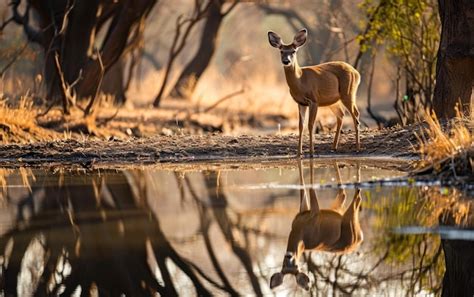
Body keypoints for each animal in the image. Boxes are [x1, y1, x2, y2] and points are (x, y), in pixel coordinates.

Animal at [266, 28, 362, 156]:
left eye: (293, 51)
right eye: (281, 51)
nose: (286, 61)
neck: (300, 80)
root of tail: (356, 73)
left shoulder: (314, 100)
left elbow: (310, 124)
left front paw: (311, 152)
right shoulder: (301, 103)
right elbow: (300, 126)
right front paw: (299, 153)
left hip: (348, 93)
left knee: (355, 115)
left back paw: (357, 148)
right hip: (333, 101)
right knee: (341, 115)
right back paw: (334, 147)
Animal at [270, 160, 362, 290]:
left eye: (296, 266)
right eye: (284, 267)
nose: (289, 255)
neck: (300, 232)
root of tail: (359, 240)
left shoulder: (311, 213)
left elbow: (307, 188)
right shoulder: (309, 212)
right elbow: (306, 188)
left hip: (344, 218)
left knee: (351, 194)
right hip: (344, 217)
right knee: (349, 194)